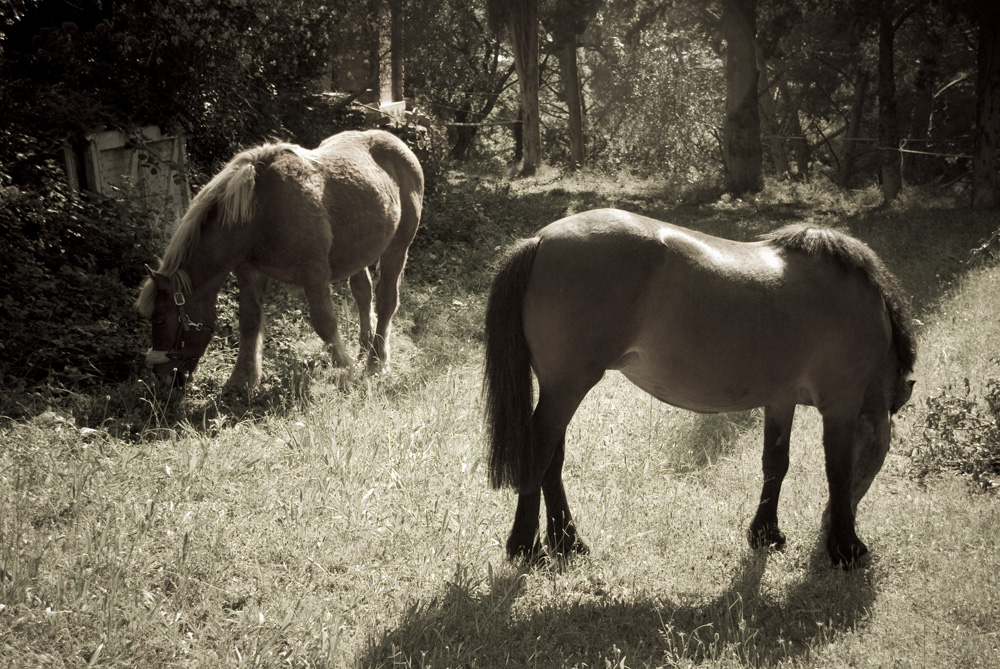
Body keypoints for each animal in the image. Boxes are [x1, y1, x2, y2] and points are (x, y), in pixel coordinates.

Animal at [134, 129, 422, 392]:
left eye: (160, 320)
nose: (162, 377)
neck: (261, 212)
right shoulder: (249, 274)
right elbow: (249, 323)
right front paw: (242, 379)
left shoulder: (314, 274)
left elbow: (324, 322)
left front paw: (344, 368)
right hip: (358, 252)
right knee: (363, 293)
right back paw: (364, 349)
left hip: (397, 248)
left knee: (386, 300)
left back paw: (376, 360)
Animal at [482, 210, 916, 568]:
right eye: (878, 454)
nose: (827, 523)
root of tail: (541, 240)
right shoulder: (841, 405)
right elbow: (837, 471)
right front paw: (846, 547)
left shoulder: (780, 401)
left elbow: (775, 464)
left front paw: (766, 533)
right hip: (568, 387)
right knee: (539, 455)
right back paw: (525, 548)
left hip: (560, 389)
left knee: (552, 461)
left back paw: (568, 543)